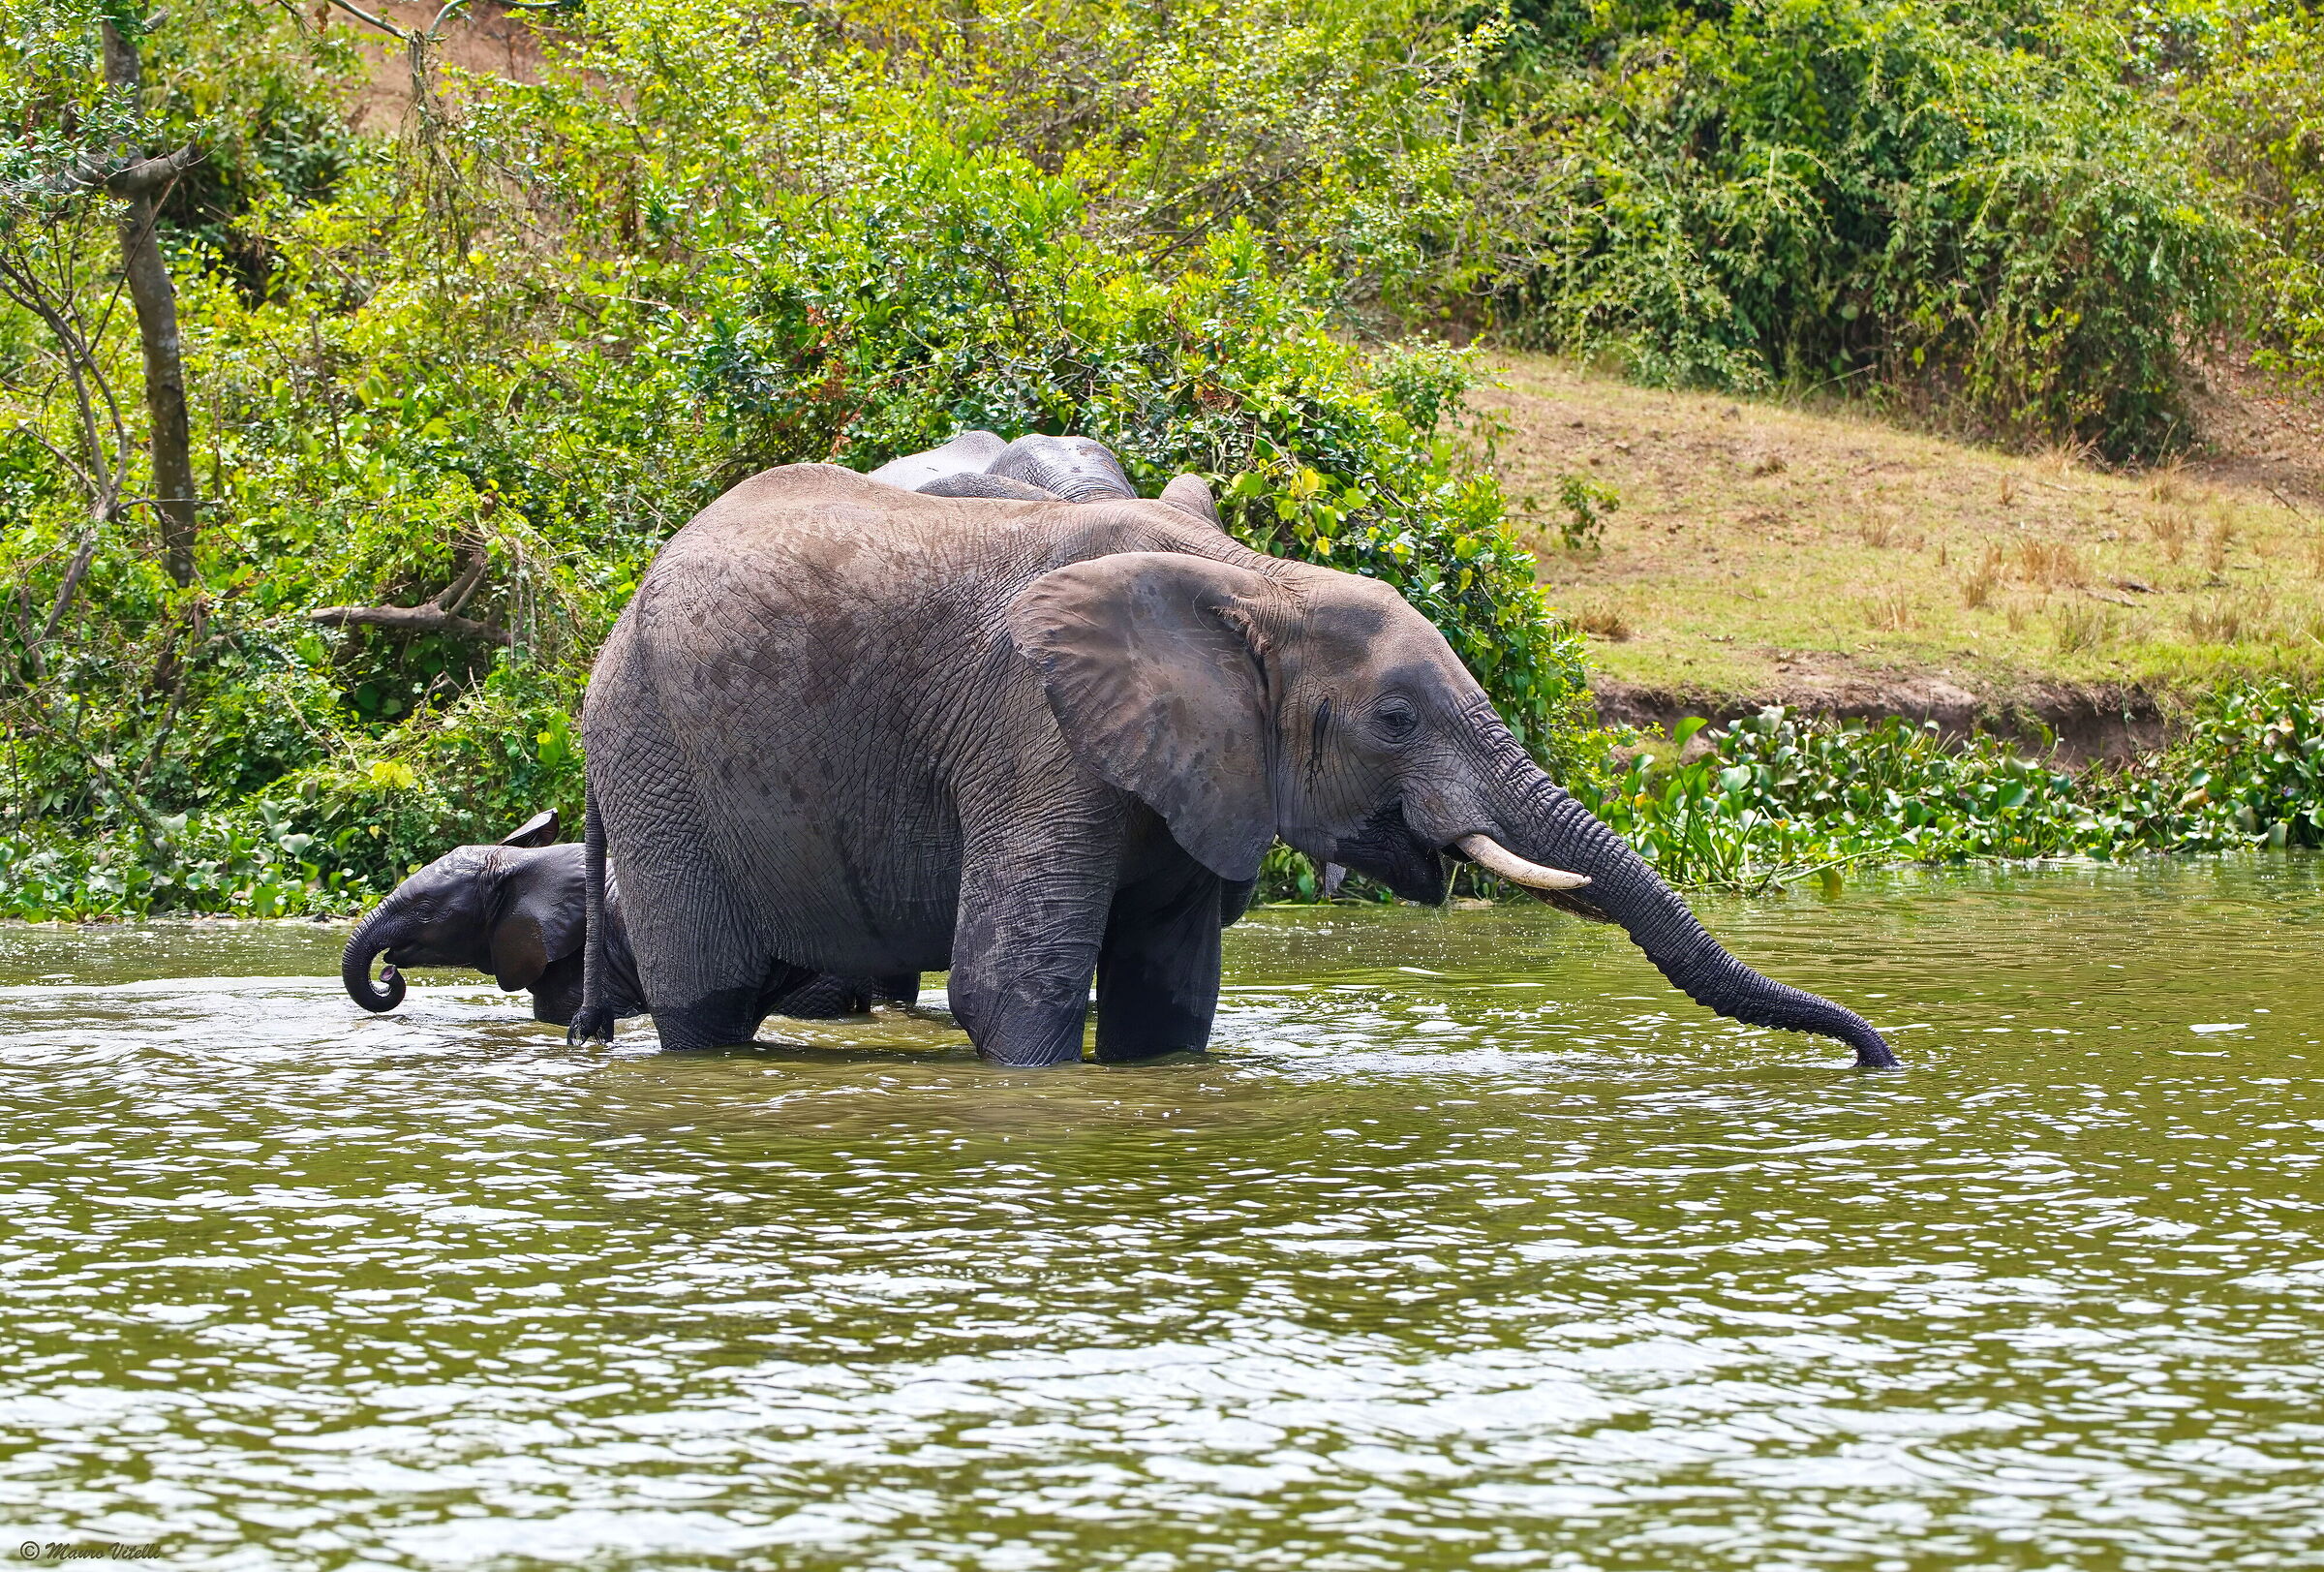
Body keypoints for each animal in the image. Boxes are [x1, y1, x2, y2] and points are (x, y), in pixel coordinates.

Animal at [566, 463, 1896, 1069]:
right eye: (1396, 720)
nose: (1877, 1057)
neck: (1259, 582)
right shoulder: (1033, 732)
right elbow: (1011, 993)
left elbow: (1169, 1003)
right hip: (653, 755)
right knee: (708, 1001)